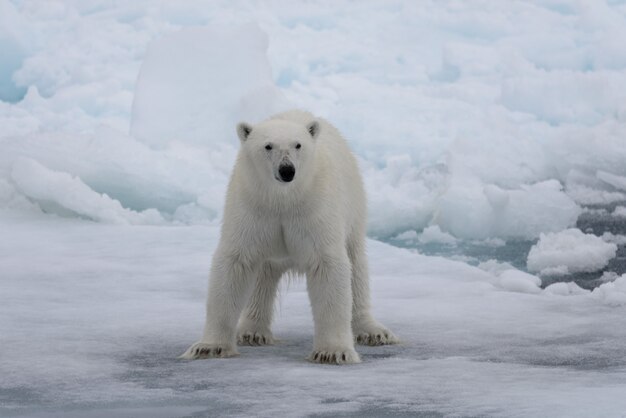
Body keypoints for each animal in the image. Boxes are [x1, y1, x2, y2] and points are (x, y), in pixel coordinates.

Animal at [180, 110, 394, 362]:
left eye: (298, 144)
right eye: (268, 146)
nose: (287, 170)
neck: (283, 199)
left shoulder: (316, 207)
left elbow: (328, 264)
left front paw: (333, 352)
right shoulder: (252, 207)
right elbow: (236, 262)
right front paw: (209, 347)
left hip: (354, 205)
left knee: (356, 265)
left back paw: (373, 332)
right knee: (263, 273)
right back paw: (252, 331)